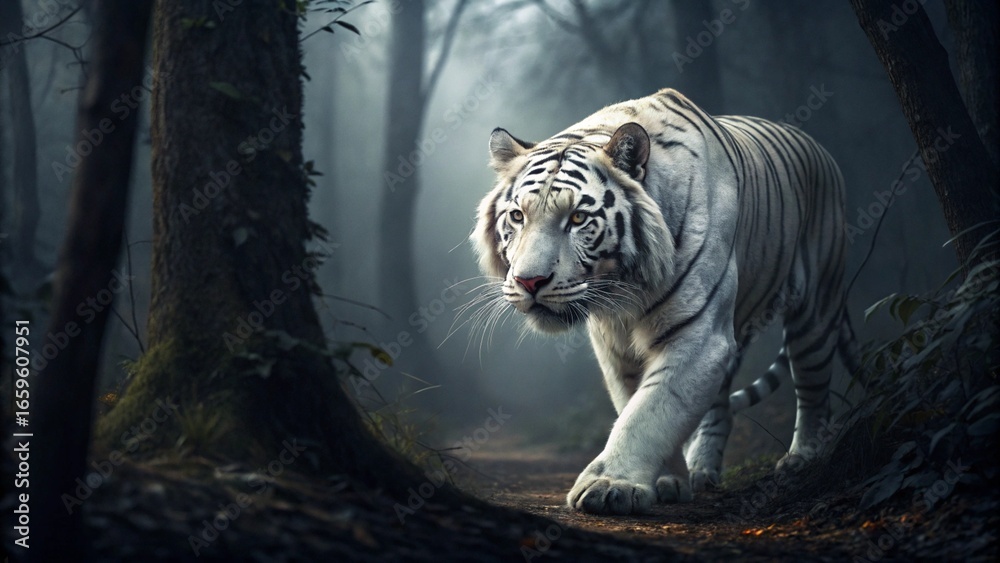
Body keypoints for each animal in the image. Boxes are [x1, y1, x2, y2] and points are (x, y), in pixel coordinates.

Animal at [471, 88, 859, 515]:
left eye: (577, 218)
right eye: (518, 217)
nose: (530, 281)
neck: (624, 288)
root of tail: (819, 148)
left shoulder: (698, 336)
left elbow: (650, 410)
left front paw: (611, 484)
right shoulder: (615, 346)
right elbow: (637, 403)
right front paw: (666, 481)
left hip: (817, 311)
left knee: (813, 389)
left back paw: (801, 459)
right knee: (719, 407)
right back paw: (702, 470)